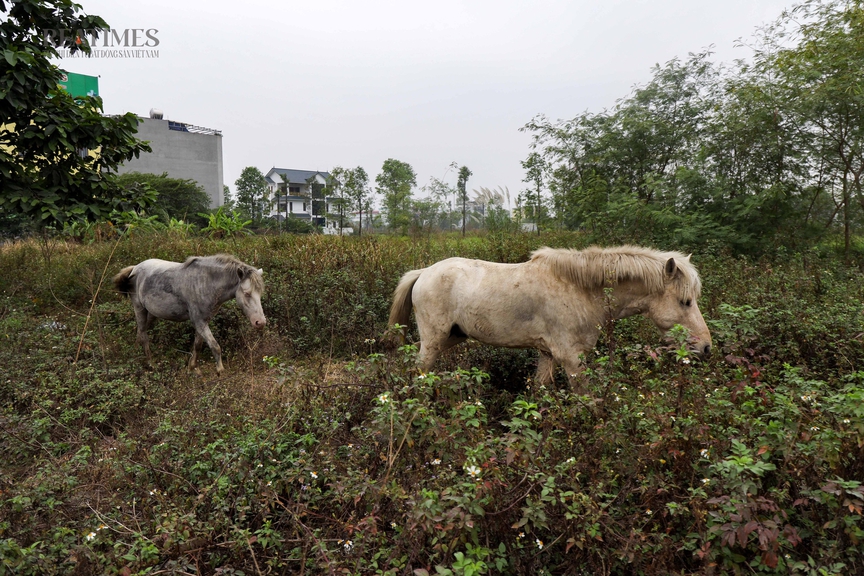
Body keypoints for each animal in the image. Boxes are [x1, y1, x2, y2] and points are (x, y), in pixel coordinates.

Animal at [113, 253, 264, 374]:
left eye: (260, 293)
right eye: (247, 293)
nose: (260, 322)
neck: (206, 283)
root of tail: (134, 268)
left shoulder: (203, 321)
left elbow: (198, 345)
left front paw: (192, 368)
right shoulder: (199, 321)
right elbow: (215, 346)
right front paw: (220, 371)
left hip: (151, 314)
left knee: (140, 332)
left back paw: (136, 354)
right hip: (139, 308)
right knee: (144, 335)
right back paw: (151, 364)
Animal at [388, 243, 712, 388]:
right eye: (685, 301)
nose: (706, 347)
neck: (583, 291)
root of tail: (423, 273)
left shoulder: (547, 354)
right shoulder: (571, 357)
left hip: (451, 337)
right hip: (434, 340)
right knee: (420, 369)